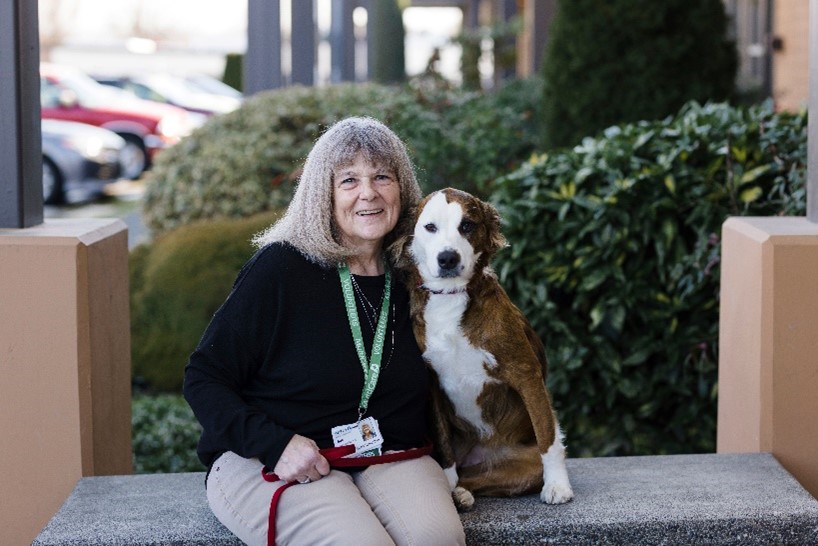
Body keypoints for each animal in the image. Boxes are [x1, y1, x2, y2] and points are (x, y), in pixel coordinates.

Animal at [390, 187, 572, 510]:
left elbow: (548, 435)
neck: (451, 297)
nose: (448, 258)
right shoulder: (431, 382)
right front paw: (447, 482)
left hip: (523, 464)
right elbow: (443, 442)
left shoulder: (526, 373)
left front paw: (558, 485)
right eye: (430, 227)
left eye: (467, 226)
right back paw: (457, 493)